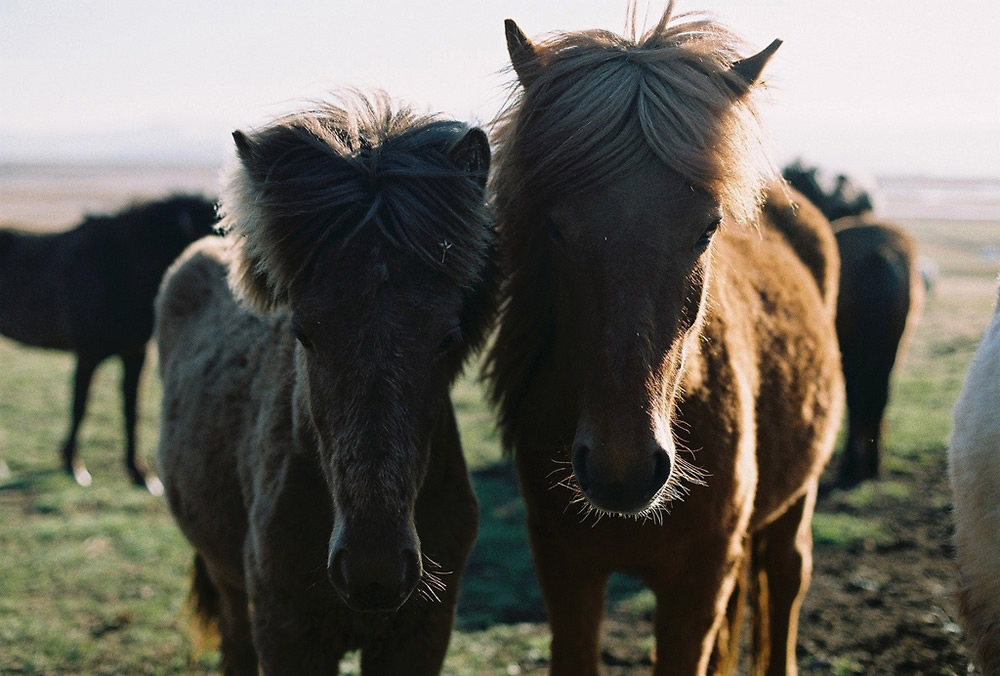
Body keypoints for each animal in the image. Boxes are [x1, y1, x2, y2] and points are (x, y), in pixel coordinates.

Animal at [0, 195, 218, 492]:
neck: (118, 266)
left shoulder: (135, 355)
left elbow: (131, 411)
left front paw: (140, 474)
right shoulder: (88, 354)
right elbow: (80, 407)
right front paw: (74, 466)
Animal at [156, 92, 496, 672]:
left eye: (448, 338)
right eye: (304, 333)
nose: (374, 570)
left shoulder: (420, 637)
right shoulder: (288, 633)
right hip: (230, 586)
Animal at [484, 6, 844, 676]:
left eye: (708, 229)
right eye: (555, 228)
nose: (622, 468)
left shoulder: (696, 585)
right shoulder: (567, 575)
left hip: (796, 501)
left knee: (786, 577)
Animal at [828, 217, 920, 486]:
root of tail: (877, 254)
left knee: (856, 397)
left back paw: (852, 464)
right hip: (889, 349)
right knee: (879, 395)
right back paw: (873, 462)